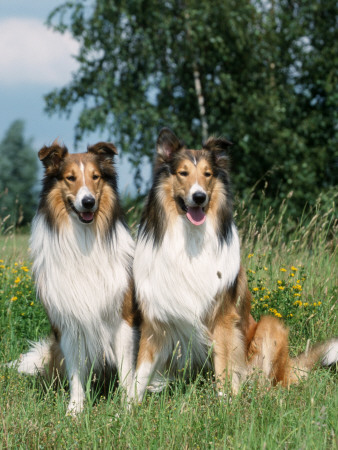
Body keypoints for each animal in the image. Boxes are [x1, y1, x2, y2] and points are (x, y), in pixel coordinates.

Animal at [12, 141, 138, 414]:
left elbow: (126, 371)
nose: (88, 202)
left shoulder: (122, 318)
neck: (85, 238)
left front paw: (128, 407)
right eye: (70, 178)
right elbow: (76, 373)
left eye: (95, 177)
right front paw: (75, 410)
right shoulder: (69, 323)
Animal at [131, 128, 336, 402]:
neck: (191, 239)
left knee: (269, 382)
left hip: (270, 326)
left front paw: (226, 402)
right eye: (183, 173)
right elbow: (140, 372)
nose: (199, 197)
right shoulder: (156, 319)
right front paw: (127, 406)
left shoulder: (223, 317)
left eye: (207, 174)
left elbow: (225, 369)